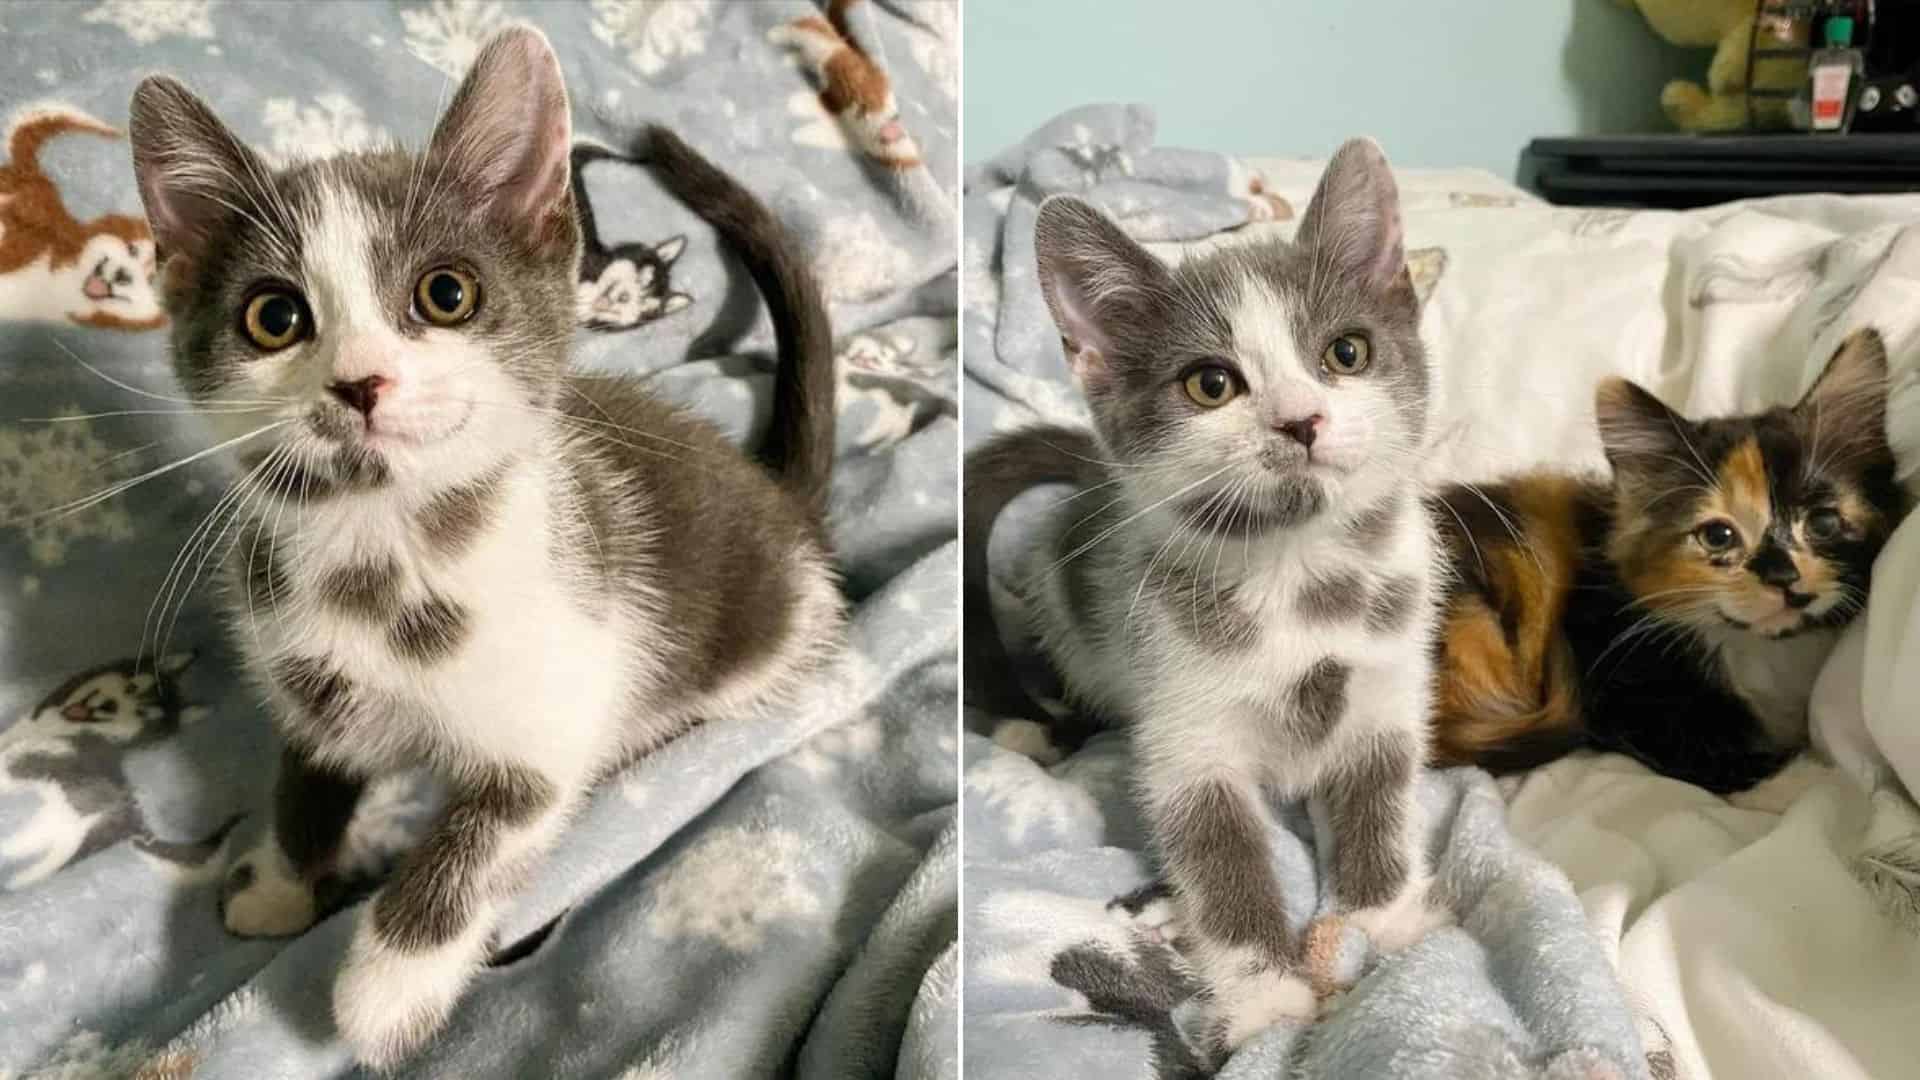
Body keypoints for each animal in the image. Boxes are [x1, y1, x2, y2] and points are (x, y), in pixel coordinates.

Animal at [967, 141, 1443, 1053]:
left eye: (1347, 353)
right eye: (1211, 385)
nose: (1301, 420)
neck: (1303, 578)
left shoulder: (1387, 682)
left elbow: (1380, 798)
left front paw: (1383, 925)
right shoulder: (1184, 727)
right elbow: (1220, 856)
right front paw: (1263, 1000)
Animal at [1436, 328, 1896, 791]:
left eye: (1823, 523)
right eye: (1718, 536)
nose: (1782, 575)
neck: (1763, 650)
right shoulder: (1615, 682)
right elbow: (1719, 760)